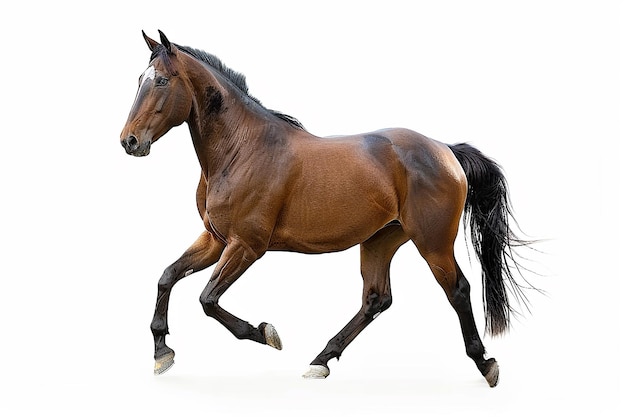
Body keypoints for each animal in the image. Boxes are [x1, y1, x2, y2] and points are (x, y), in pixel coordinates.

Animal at [119, 30, 528, 386]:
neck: (241, 149)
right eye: (140, 78)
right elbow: (167, 276)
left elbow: (207, 299)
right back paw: (321, 360)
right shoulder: (215, 239)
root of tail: (445, 150)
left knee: (457, 289)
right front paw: (161, 353)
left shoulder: (247, 245)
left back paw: (486, 364)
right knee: (376, 299)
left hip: (433, 242)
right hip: (381, 240)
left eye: (160, 81)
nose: (129, 141)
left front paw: (265, 333)